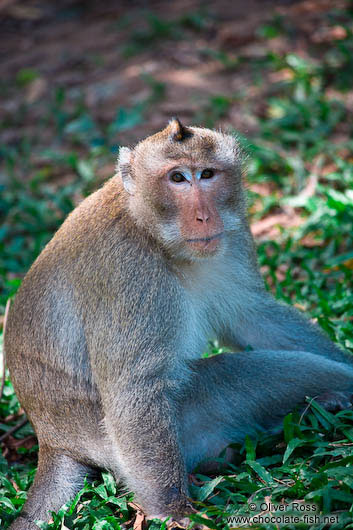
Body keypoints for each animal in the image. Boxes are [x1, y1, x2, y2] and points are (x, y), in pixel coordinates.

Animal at [4, 118, 352, 528]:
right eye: (177, 178)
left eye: (207, 174)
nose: (204, 216)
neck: (150, 228)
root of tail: (53, 439)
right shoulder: (132, 274)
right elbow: (135, 391)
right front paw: (172, 509)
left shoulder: (233, 235)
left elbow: (250, 316)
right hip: (179, 421)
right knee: (240, 373)